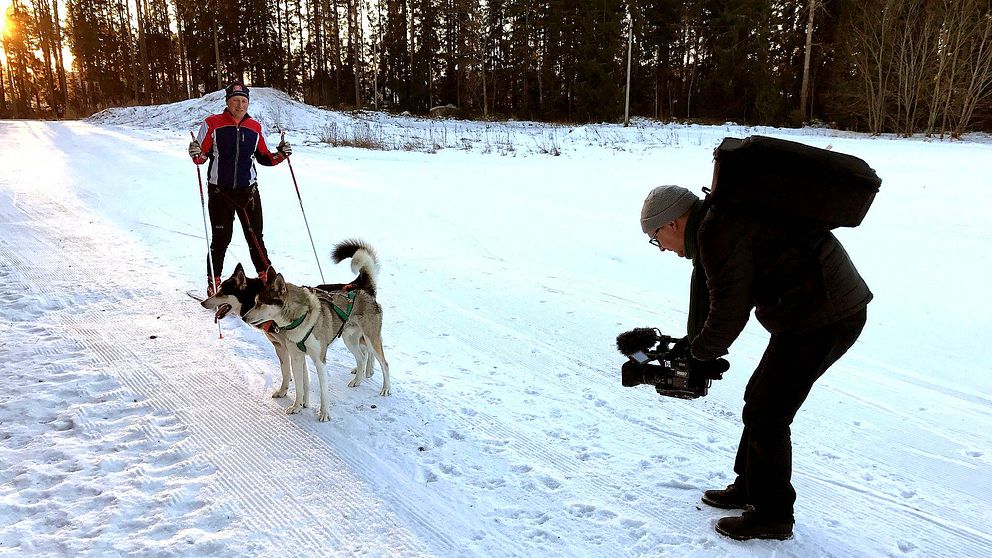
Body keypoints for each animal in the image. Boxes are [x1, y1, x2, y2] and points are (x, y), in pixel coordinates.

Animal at [244, 238, 392, 422]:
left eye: (260, 303)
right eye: (255, 301)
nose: (244, 317)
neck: (299, 319)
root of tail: (365, 291)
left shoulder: (320, 360)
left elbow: (323, 391)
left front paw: (324, 413)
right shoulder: (296, 357)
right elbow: (299, 386)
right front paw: (297, 406)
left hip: (371, 339)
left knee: (384, 363)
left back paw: (386, 389)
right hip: (349, 340)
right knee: (361, 357)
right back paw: (356, 381)